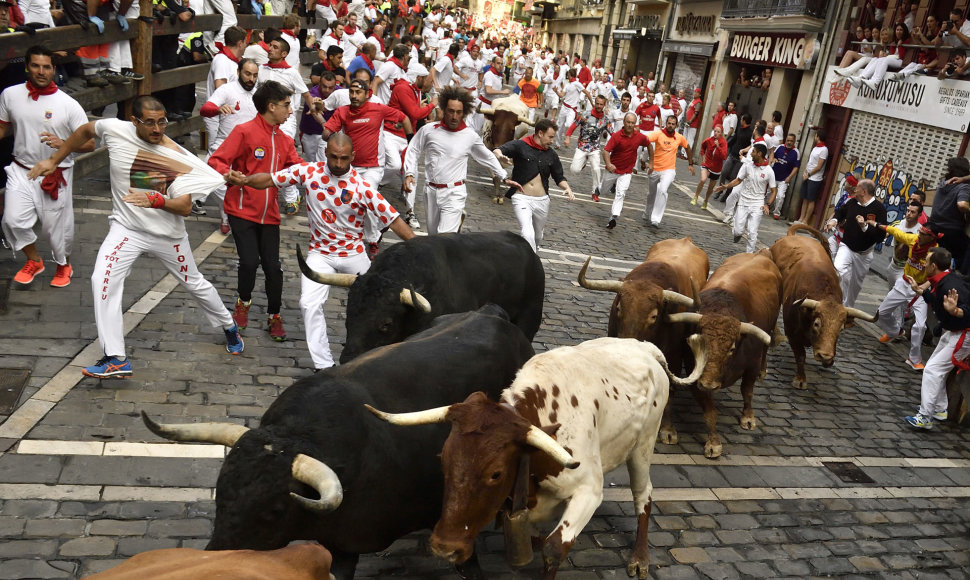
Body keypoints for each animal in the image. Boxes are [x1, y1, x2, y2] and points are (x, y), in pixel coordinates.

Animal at [664, 251, 780, 460]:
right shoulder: (695, 376)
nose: (709, 384)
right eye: (695, 343)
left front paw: (748, 417)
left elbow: (747, 391)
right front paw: (714, 443)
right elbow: (710, 411)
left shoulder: (751, 366)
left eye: (732, 348)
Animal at [772, 227, 876, 390]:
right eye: (817, 324)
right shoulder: (791, 331)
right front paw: (800, 379)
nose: (825, 355)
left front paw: (828, 361)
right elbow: (800, 356)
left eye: (841, 329)